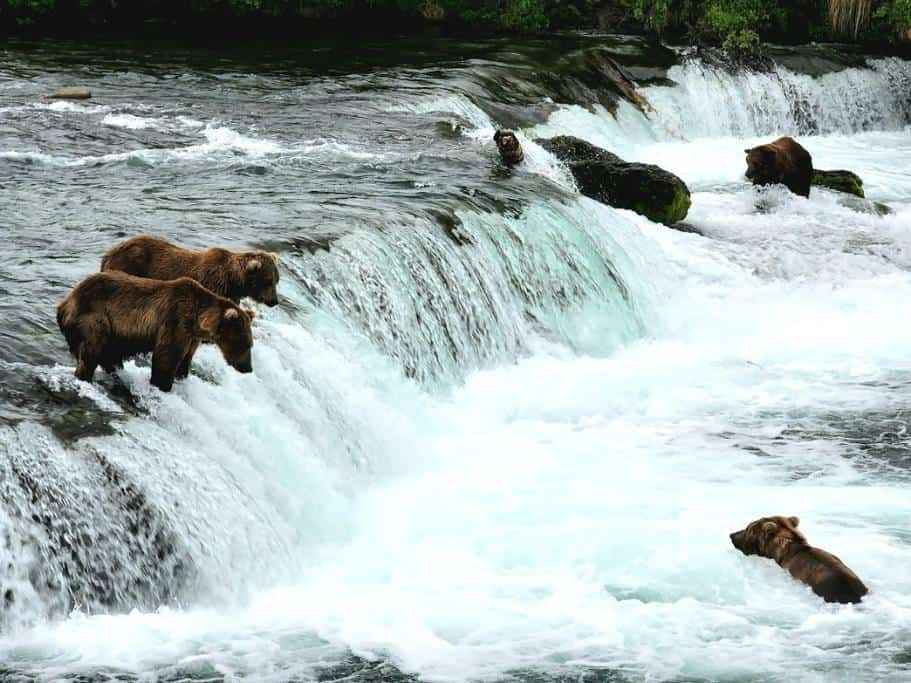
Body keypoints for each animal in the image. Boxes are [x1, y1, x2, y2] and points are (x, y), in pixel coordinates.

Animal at [57, 271, 254, 392]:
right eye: (243, 344)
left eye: (250, 344)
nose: (248, 368)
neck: (197, 320)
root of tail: (65, 303)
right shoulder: (175, 321)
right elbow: (165, 358)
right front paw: (163, 385)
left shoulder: (191, 337)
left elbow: (185, 359)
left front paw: (181, 376)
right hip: (95, 318)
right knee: (91, 351)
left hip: (112, 333)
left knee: (109, 356)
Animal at [101, 236, 279, 307]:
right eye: (268, 281)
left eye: (276, 280)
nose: (274, 301)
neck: (233, 282)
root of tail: (108, 253)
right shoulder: (211, 286)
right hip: (129, 265)